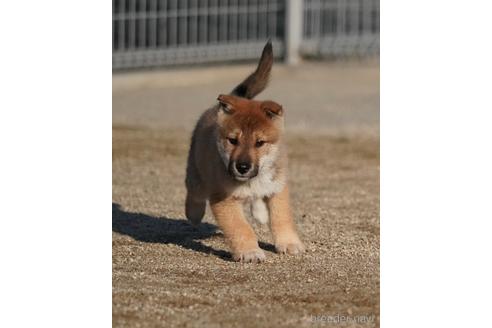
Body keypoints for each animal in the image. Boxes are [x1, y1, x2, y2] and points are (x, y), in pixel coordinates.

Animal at [184, 41, 304, 262]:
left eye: (260, 142)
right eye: (233, 141)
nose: (242, 167)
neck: (249, 181)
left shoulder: (278, 187)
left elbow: (281, 218)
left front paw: (289, 243)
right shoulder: (223, 198)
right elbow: (241, 228)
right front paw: (250, 252)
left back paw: (260, 213)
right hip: (196, 171)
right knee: (194, 193)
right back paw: (194, 213)